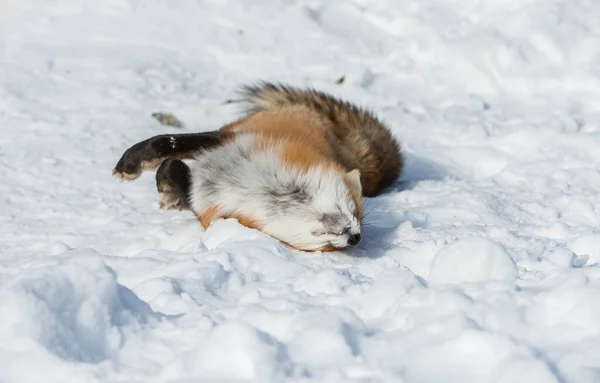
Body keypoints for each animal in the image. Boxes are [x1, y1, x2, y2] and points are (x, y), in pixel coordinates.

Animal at [112, 83, 404, 252]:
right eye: (354, 208)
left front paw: (169, 192)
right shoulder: (232, 140)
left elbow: (172, 168)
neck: (262, 188)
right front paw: (130, 163)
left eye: (326, 249)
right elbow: (165, 146)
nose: (356, 238)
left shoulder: (207, 206)